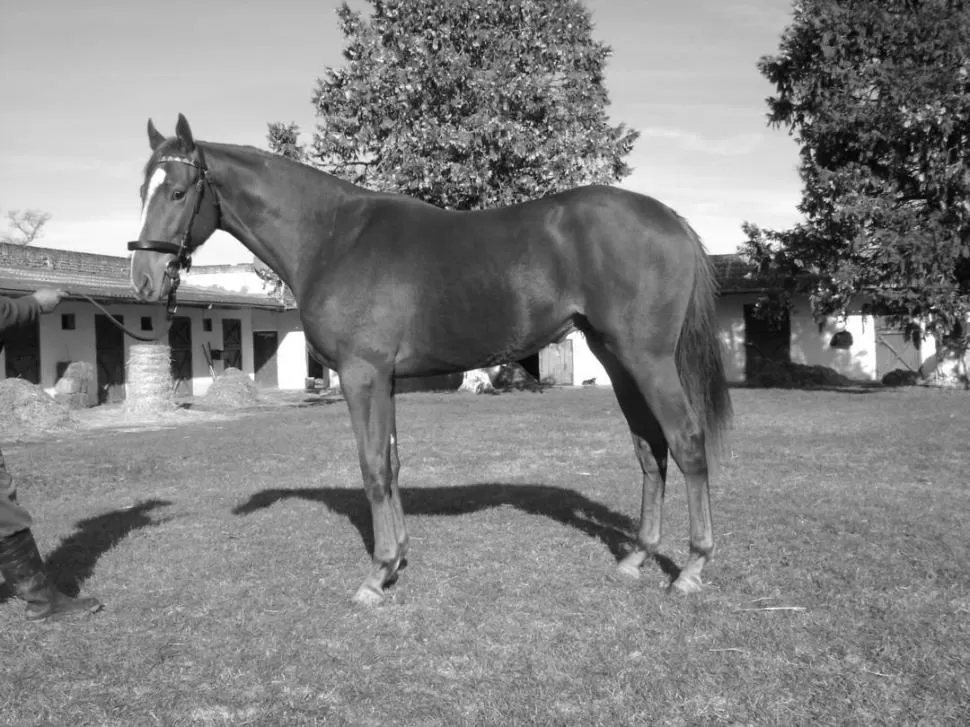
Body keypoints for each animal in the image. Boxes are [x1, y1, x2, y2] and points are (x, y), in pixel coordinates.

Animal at [130, 114, 732, 604]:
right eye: (142, 190)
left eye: (178, 191)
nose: (144, 279)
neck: (334, 237)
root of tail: (669, 218)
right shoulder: (386, 380)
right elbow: (392, 464)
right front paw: (397, 560)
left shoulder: (362, 375)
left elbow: (373, 467)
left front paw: (376, 575)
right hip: (615, 358)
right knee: (650, 449)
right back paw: (637, 556)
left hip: (647, 359)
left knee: (686, 442)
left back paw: (692, 568)